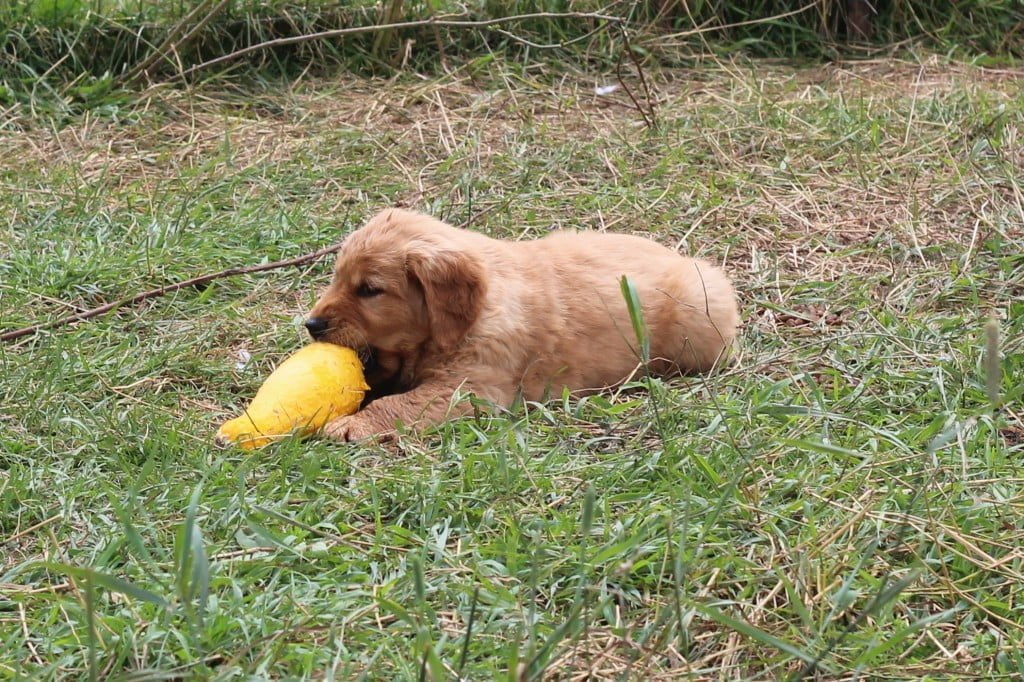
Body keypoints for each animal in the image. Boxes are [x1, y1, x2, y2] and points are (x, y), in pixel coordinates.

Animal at [301, 208, 737, 440]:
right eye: (337, 278)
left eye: (369, 290)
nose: (311, 324)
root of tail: (683, 256)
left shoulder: (469, 388)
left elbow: (398, 403)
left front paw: (352, 424)